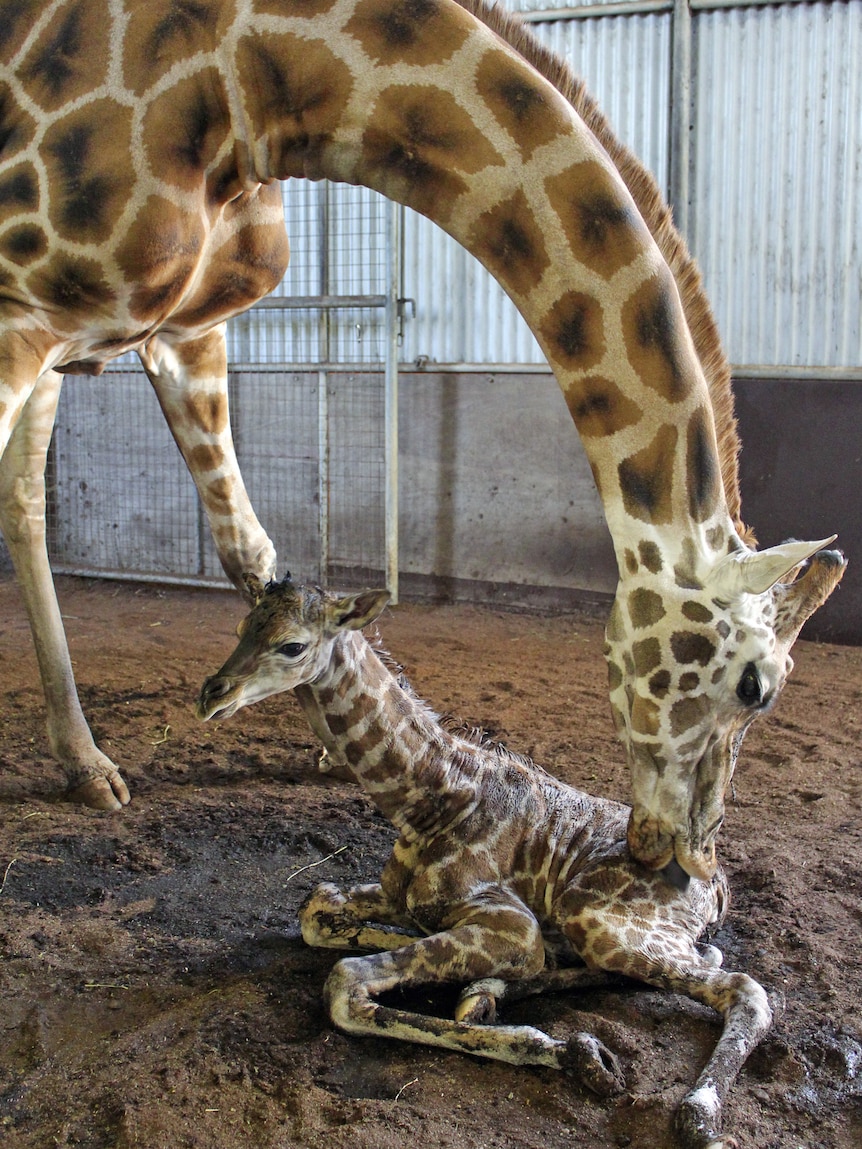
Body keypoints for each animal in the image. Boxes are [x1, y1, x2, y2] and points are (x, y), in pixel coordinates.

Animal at [0, 0, 845, 868]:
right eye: (756, 687)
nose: (683, 846)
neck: (258, 82)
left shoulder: (178, 329)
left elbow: (251, 550)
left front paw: (326, 730)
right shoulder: (24, 308)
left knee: (25, 502)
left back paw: (86, 763)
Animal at [198, 574, 772, 1149]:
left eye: (292, 645)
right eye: (243, 626)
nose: (210, 695)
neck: (432, 797)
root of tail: (718, 886)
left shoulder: (513, 923)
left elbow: (345, 983)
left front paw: (573, 1054)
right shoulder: (396, 896)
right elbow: (316, 910)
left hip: (598, 919)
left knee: (742, 987)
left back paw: (698, 1116)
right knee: (693, 959)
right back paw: (484, 993)